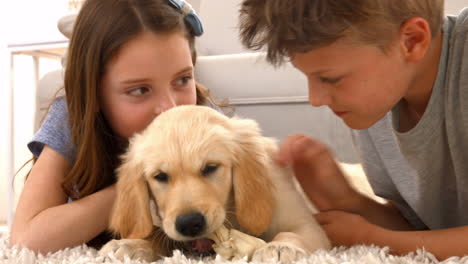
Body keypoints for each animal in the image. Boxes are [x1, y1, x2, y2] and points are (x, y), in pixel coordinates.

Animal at [100, 104, 330, 262]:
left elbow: (290, 232)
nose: (189, 224)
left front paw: (280, 248)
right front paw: (130, 245)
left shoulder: (305, 222)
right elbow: (157, 236)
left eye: (210, 167)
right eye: (160, 176)